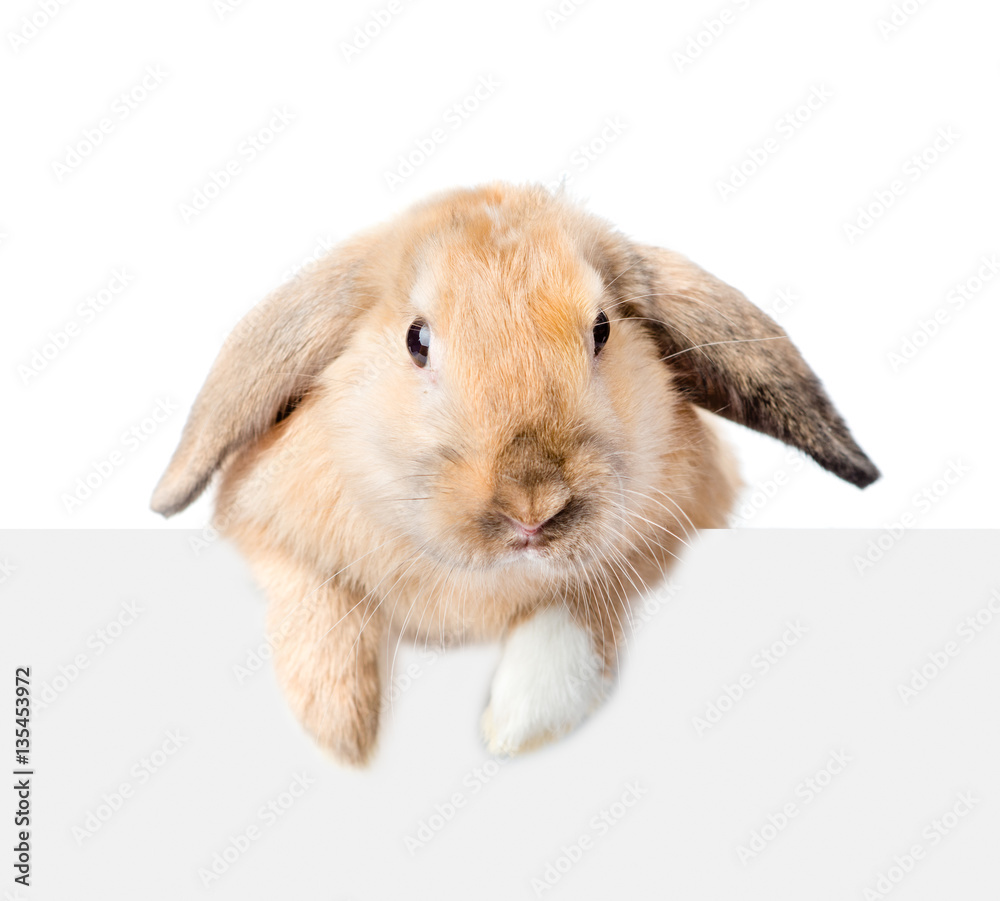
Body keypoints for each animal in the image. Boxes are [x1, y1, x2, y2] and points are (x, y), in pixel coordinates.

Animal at [152, 183, 880, 768]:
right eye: (417, 340)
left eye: (602, 329)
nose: (532, 504)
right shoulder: (270, 534)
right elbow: (318, 599)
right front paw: (340, 726)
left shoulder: (651, 541)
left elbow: (576, 606)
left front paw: (519, 721)